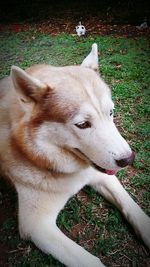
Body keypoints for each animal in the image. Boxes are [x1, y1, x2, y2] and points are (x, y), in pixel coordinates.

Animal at [0, 44, 149, 267]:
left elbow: (134, 209)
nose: (128, 159)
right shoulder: (36, 225)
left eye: (111, 112)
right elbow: (91, 261)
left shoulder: (102, 175)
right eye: (82, 124)